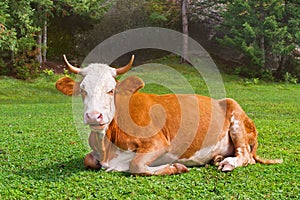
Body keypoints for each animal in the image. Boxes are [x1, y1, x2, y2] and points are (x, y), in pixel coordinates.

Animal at [55, 54, 282, 175]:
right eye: (82, 90)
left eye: (111, 90)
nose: (94, 116)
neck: (107, 146)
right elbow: (88, 159)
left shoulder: (159, 142)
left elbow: (136, 165)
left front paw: (175, 167)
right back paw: (218, 157)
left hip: (236, 117)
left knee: (246, 156)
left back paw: (227, 163)